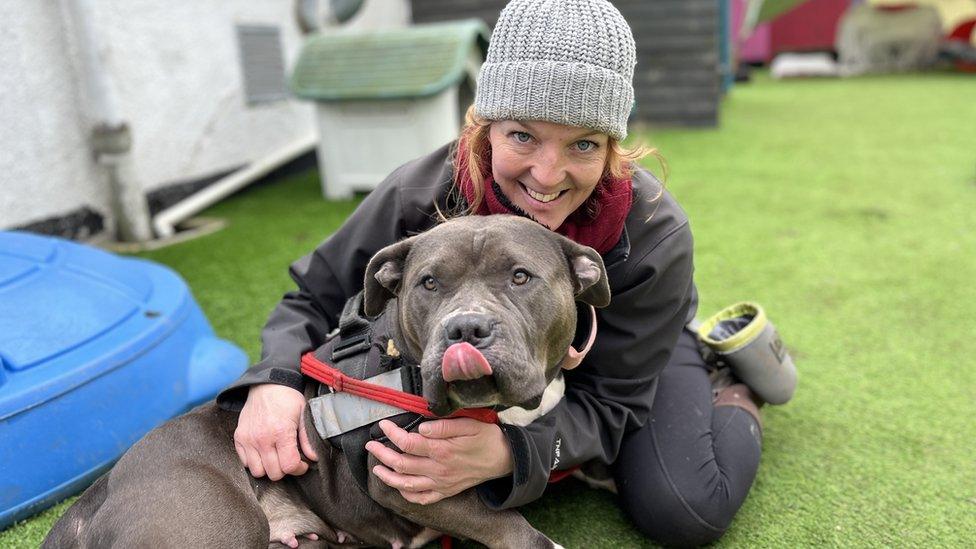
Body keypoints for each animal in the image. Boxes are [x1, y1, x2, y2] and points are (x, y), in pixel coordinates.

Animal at [47, 215, 608, 548]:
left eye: (520, 276)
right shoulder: (404, 481)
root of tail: (84, 508)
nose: (465, 328)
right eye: (429, 283)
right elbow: (513, 528)